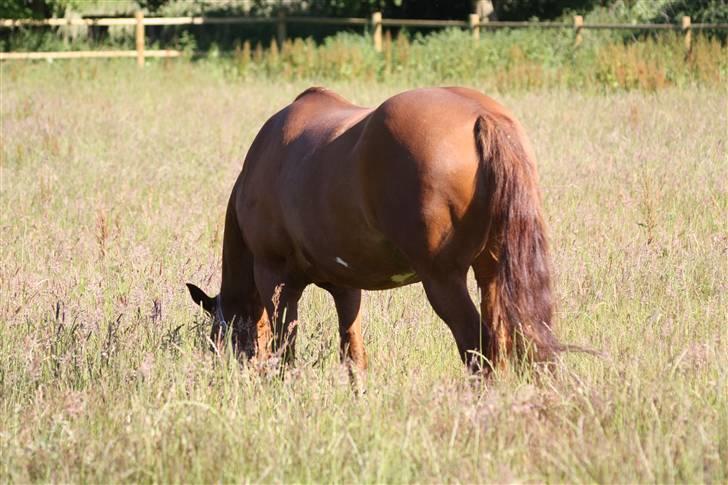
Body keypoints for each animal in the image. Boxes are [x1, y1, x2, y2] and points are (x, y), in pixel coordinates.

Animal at [187, 86, 559, 374]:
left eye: (217, 337)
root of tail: (481, 115)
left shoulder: (275, 278)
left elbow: (285, 351)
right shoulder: (346, 288)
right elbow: (353, 355)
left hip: (443, 280)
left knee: (476, 347)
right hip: (493, 274)